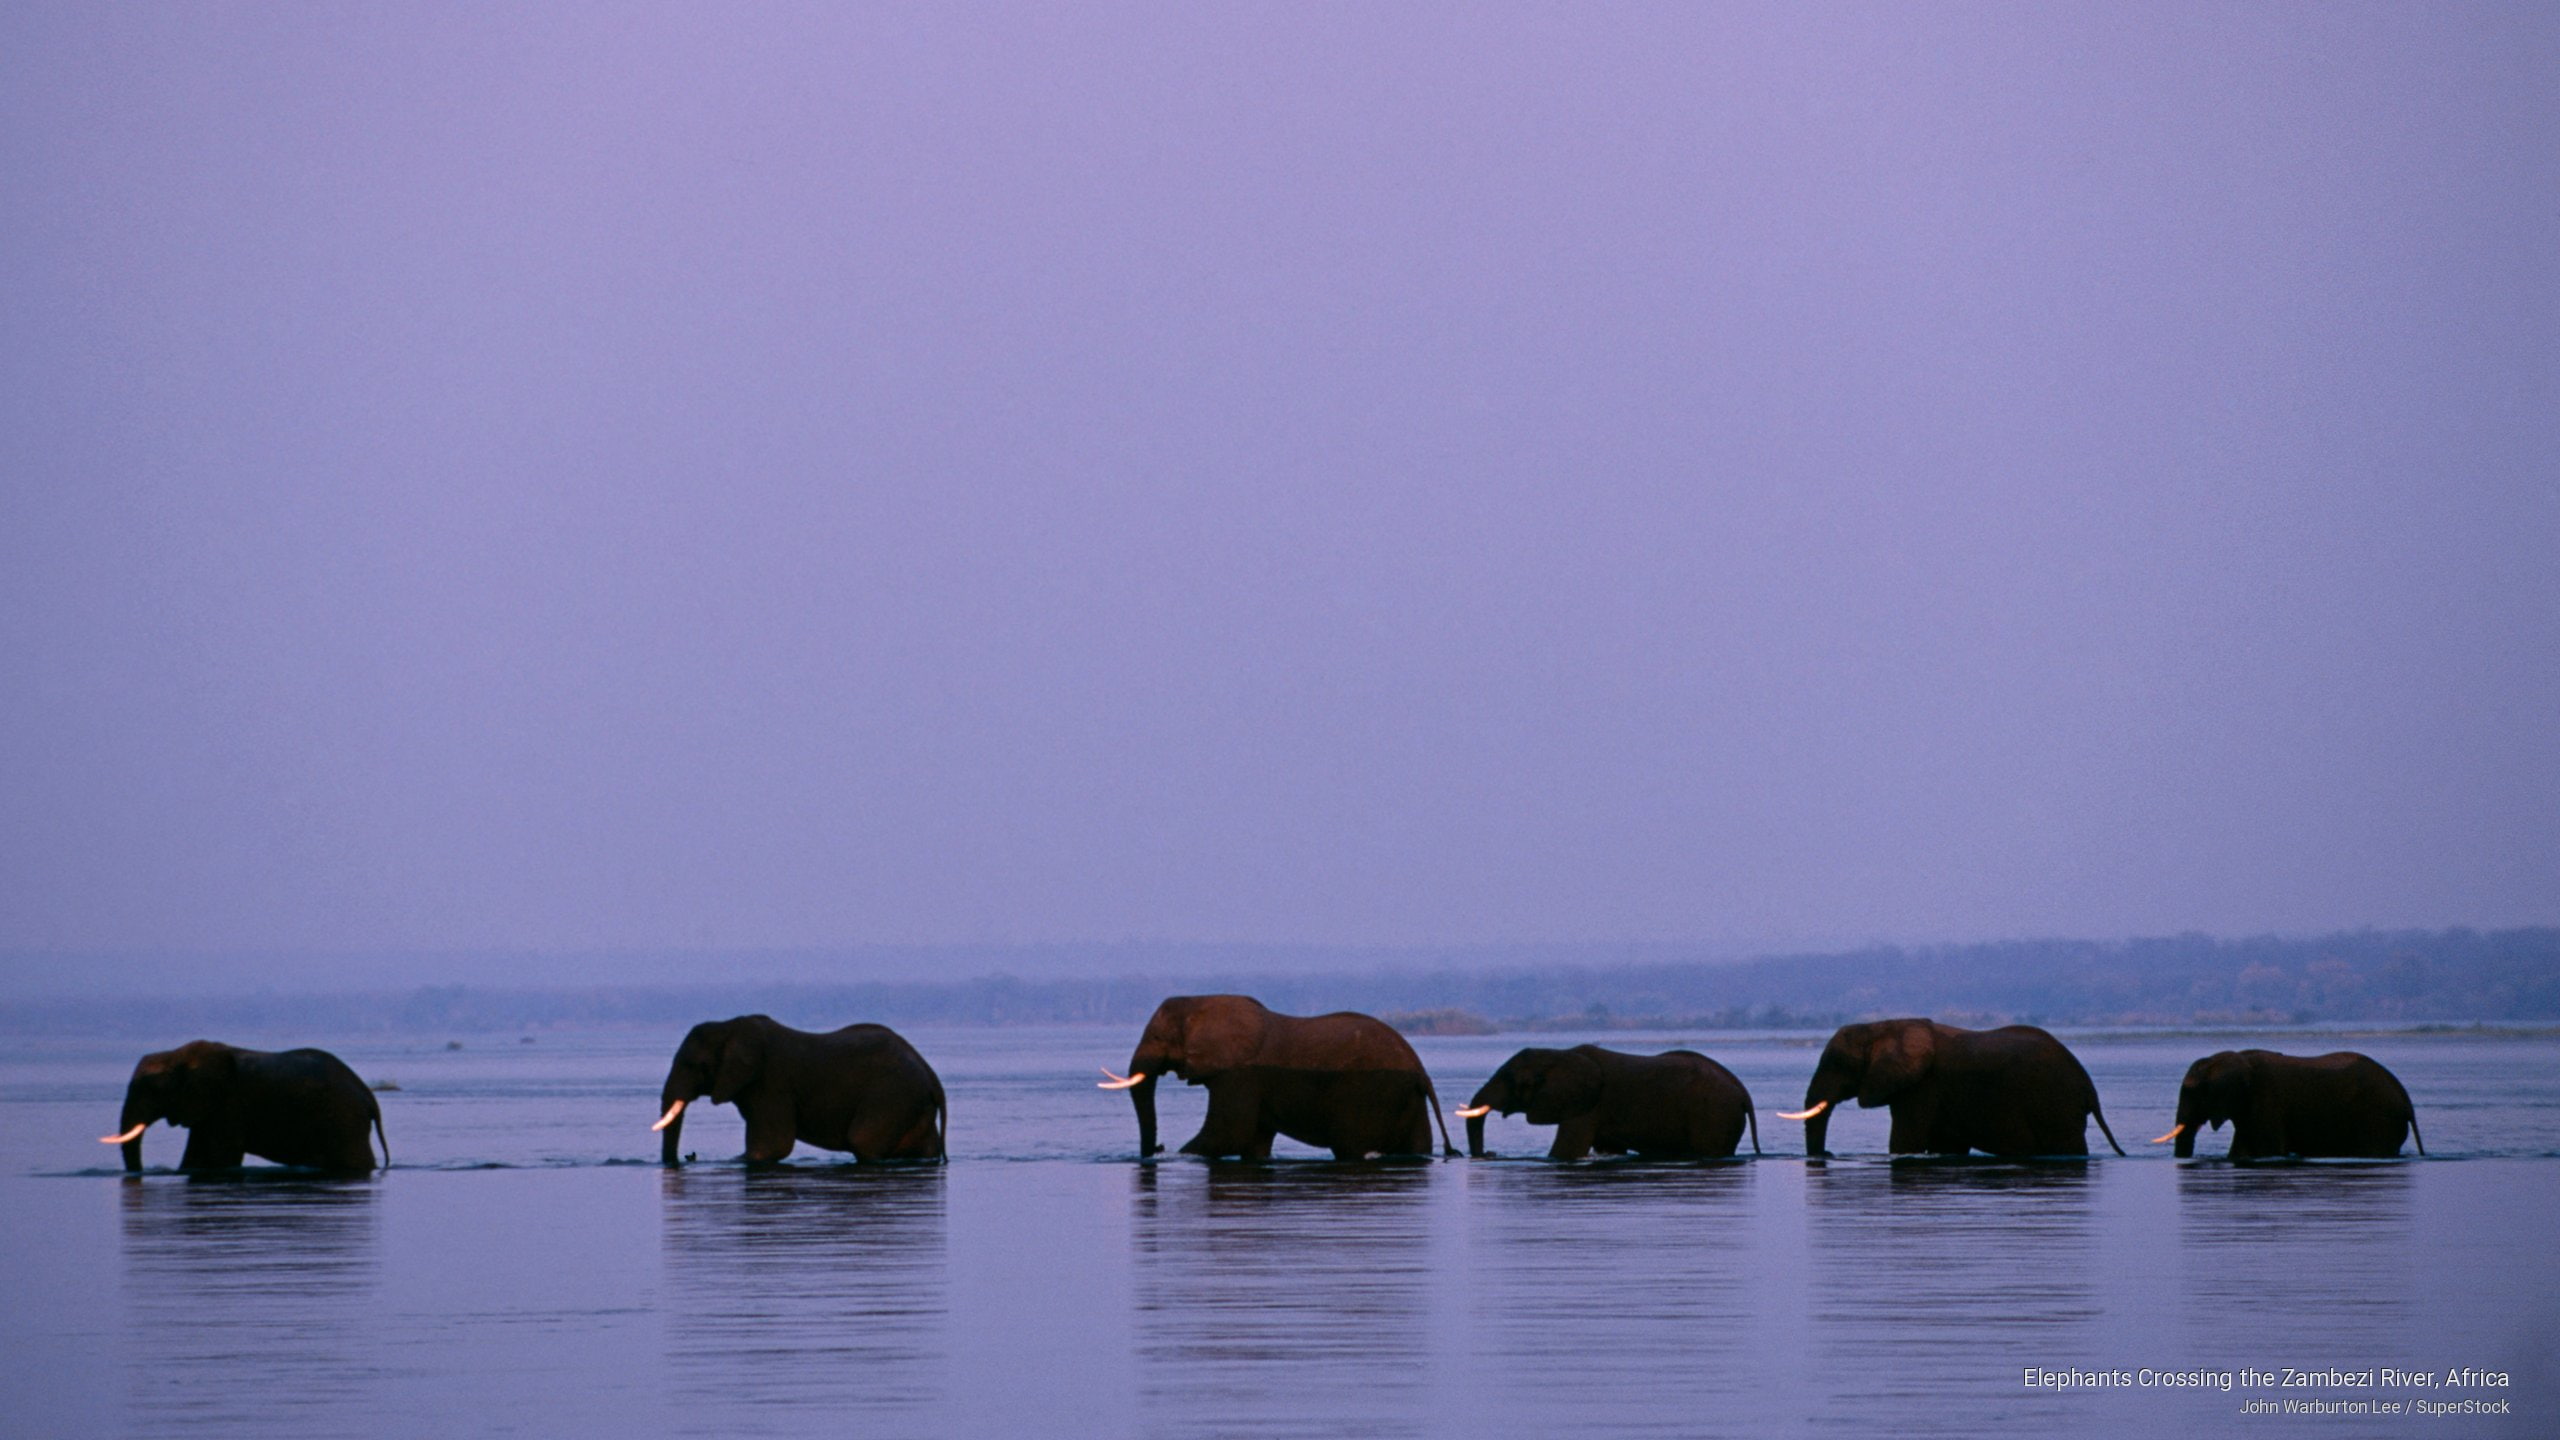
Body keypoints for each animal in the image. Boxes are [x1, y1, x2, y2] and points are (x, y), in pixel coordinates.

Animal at [101, 1041, 386, 1173]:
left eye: (150, 1089)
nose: (138, 1173)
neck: (178, 1055)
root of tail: (368, 1096)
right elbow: (197, 1155)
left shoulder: (230, 1103)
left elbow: (220, 1157)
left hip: (344, 1120)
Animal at [652, 1016, 945, 1165]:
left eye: (695, 1065)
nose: (688, 1156)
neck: (730, 1026)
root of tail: (930, 1073)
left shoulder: (771, 1085)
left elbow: (771, 1147)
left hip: (891, 1095)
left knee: (862, 1142)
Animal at [1099, 995, 1458, 1160]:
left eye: (1157, 1037)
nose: (1157, 1148)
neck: (1202, 1001)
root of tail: (1420, 1070)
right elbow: (1252, 1143)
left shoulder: (1239, 1076)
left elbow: (1227, 1134)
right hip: (1408, 1100)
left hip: (1370, 1094)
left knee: (1349, 1147)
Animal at [1457, 1045, 1761, 1160]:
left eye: (1509, 1078)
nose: (1490, 1154)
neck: (1558, 1054)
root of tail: (1743, 1091)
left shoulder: (1585, 1108)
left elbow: (1565, 1151)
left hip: (1715, 1116)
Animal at [1782, 1018, 2125, 1158]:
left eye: (1837, 1063)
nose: (1828, 1153)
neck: (1883, 1026)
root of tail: (2088, 1088)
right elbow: (1948, 1145)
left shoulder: (1921, 1087)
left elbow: (1905, 1141)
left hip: (2055, 1105)